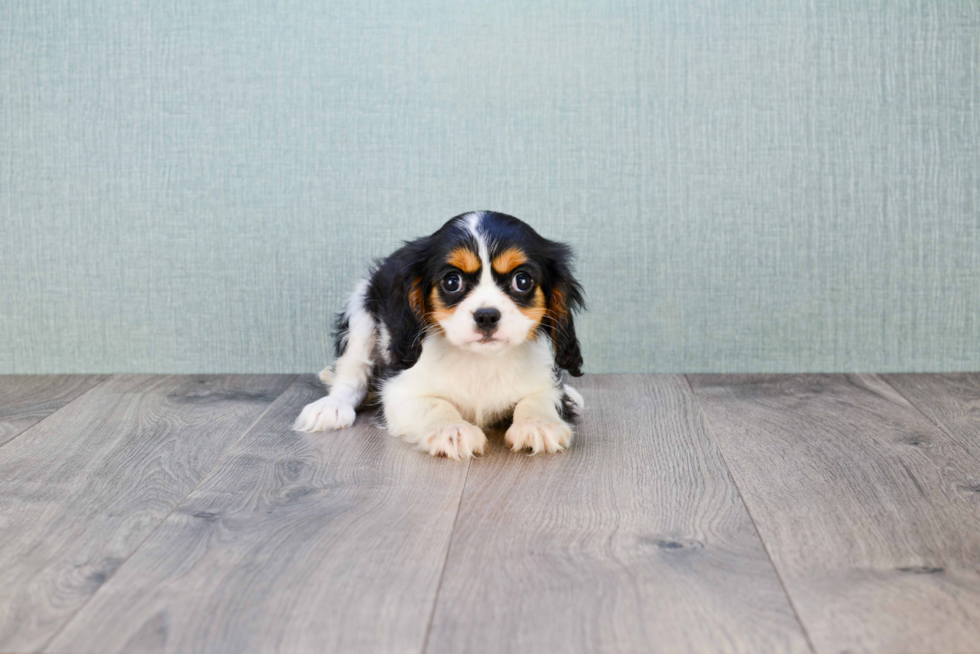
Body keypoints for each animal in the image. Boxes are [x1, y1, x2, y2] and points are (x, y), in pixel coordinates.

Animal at [290, 213, 580, 458]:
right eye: (452, 281)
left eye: (522, 280)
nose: (487, 315)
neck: (480, 359)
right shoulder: (399, 391)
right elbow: (435, 404)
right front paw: (451, 430)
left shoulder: (543, 382)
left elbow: (537, 399)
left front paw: (540, 424)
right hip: (361, 310)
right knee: (351, 374)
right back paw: (331, 406)